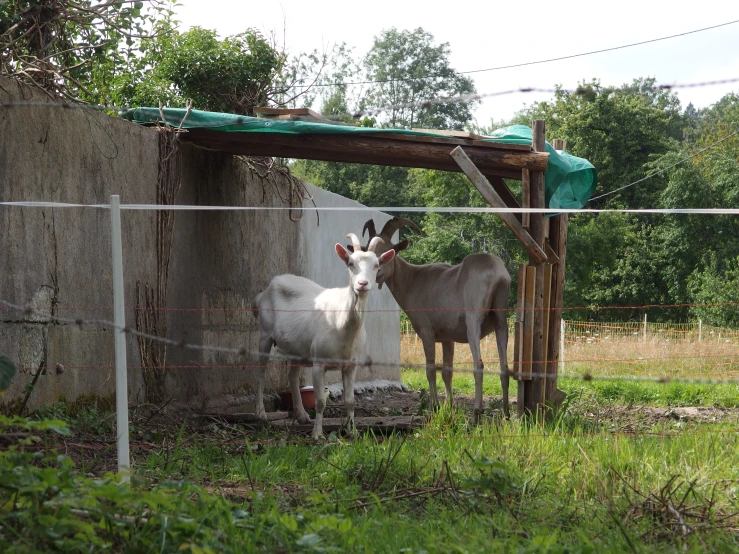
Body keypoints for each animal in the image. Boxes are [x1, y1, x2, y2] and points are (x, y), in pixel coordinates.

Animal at [253, 232, 394, 436]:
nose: (362, 284)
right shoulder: (319, 363)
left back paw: (302, 415)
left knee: (292, 376)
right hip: (264, 334)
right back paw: (261, 413)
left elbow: (350, 401)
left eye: (376, 265)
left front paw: (353, 432)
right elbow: (320, 401)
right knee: (260, 372)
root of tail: (264, 292)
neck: (343, 324)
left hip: (298, 348)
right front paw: (317, 434)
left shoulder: (351, 365)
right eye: (350, 263)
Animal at [356, 218, 512, 416]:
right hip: (501, 320)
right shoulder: (447, 338)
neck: (412, 281)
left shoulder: (426, 333)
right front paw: (449, 406)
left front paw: (434, 406)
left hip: (473, 321)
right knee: (504, 366)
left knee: (479, 364)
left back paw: (476, 412)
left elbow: (430, 369)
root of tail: (497, 274)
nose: (373, 275)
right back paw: (506, 413)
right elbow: (447, 371)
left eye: (388, 252)